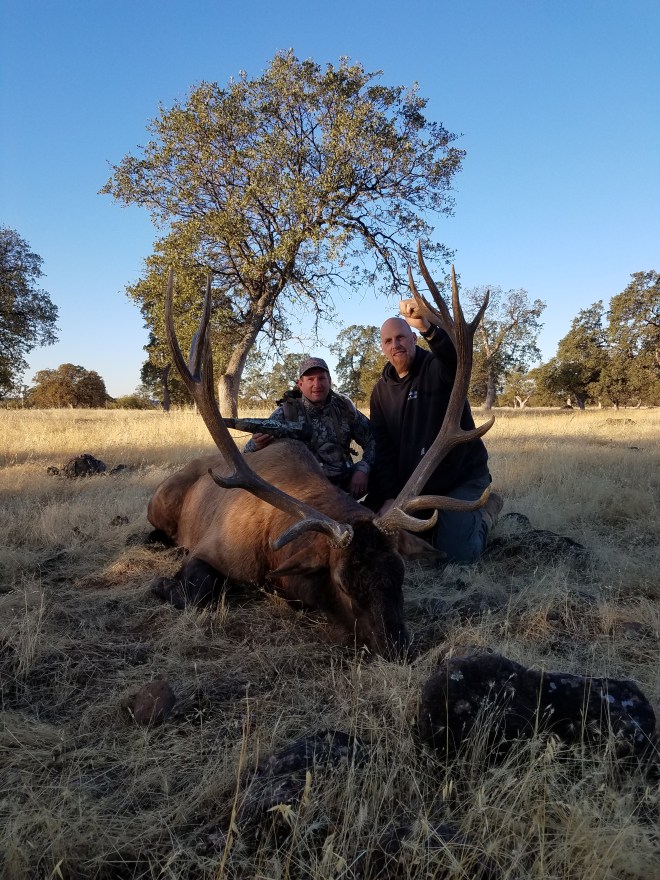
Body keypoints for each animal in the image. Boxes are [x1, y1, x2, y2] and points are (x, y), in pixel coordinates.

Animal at [147, 245, 494, 659]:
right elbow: (198, 590)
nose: (397, 648)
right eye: (343, 583)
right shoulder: (209, 550)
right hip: (159, 503)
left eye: (400, 576)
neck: (272, 549)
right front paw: (160, 586)